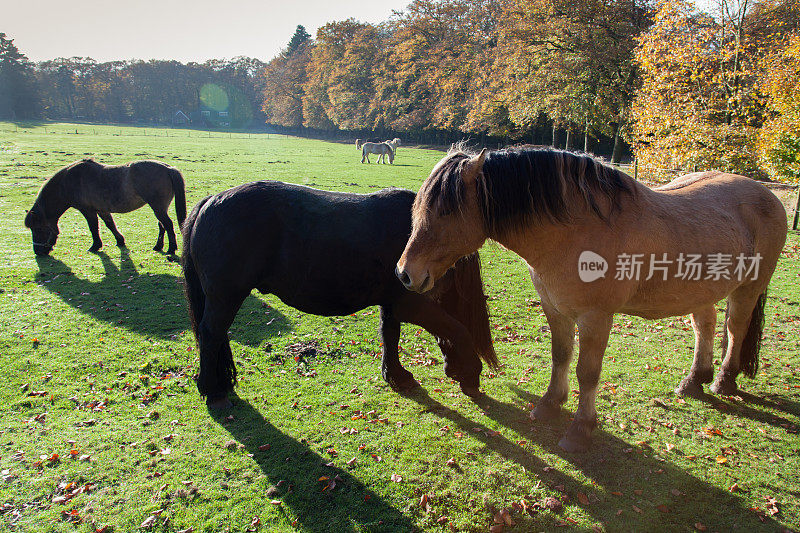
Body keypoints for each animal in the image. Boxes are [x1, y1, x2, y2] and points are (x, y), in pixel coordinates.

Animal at [23, 158, 188, 256]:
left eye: (38, 228)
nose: (38, 251)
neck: (69, 181)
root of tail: (168, 168)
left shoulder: (87, 210)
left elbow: (93, 228)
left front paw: (95, 246)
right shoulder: (102, 209)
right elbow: (110, 225)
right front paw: (120, 241)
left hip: (158, 207)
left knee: (168, 224)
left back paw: (171, 249)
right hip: (159, 207)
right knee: (162, 225)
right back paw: (158, 246)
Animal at [184, 181, 496, 410]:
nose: (463, 376)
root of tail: (210, 201)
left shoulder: (392, 302)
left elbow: (390, 335)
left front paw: (395, 376)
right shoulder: (410, 304)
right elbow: (456, 329)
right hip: (226, 297)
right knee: (211, 334)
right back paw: (213, 391)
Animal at [398, 147, 788, 454]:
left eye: (447, 211)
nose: (404, 273)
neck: (575, 232)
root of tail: (767, 196)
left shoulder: (595, 317)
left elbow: (587, 372)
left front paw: (580, 429)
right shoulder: (556, 310)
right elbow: (560, 356)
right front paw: (550, 405)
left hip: (748, 288)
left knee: (735, 329)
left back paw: (723, 380)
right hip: (700, 289)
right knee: (705, 325)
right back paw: (695, 381)